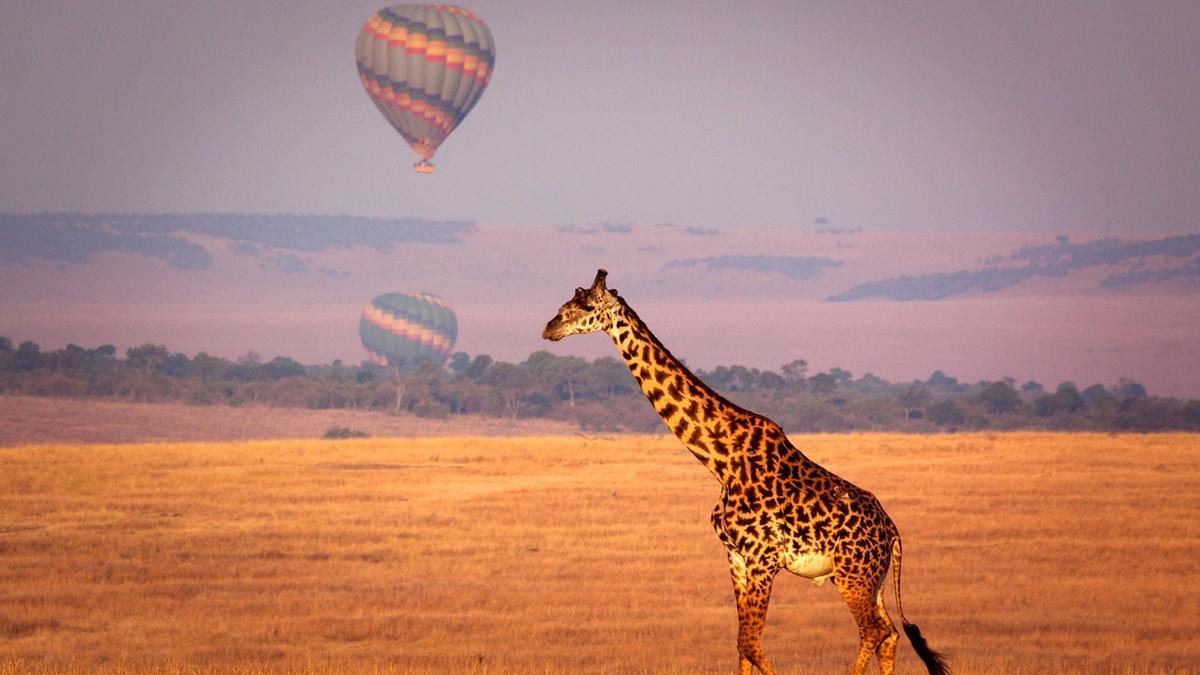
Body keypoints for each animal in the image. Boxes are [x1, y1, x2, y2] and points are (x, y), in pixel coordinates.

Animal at [542, 270, 949, 675]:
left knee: (874, 630)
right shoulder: (736, 558)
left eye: (585, 306)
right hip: (867, 578)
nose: (549, 328)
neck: (721, 459)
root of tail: (893, 533)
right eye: (565, 303)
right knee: (890, 632)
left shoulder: (761, 559)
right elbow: (741, 644)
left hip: (854, 575)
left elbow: (751, 643)